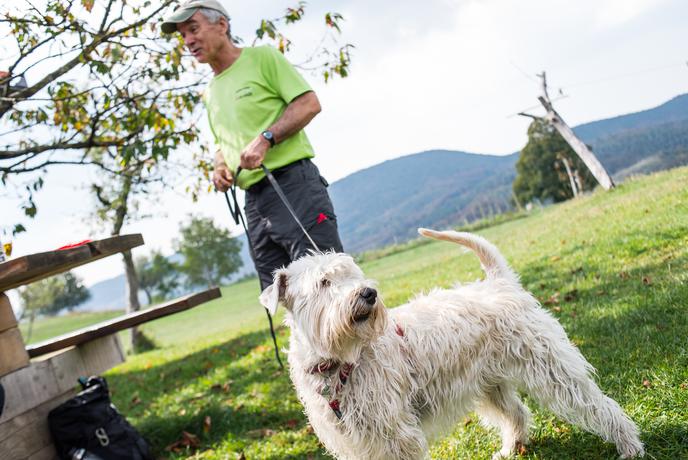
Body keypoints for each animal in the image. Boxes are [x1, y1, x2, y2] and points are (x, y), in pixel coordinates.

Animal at [258, 228, 644, 458]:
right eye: (324, 282)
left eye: (353, 274)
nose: (368, 293)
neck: (337, 361)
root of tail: (499, 282)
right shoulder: (353, 440)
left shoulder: (395, 432)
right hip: (490, 385)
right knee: (517, 413)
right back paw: (510, 449)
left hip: (553, 371)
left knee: (600, 406)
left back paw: (630, 446)